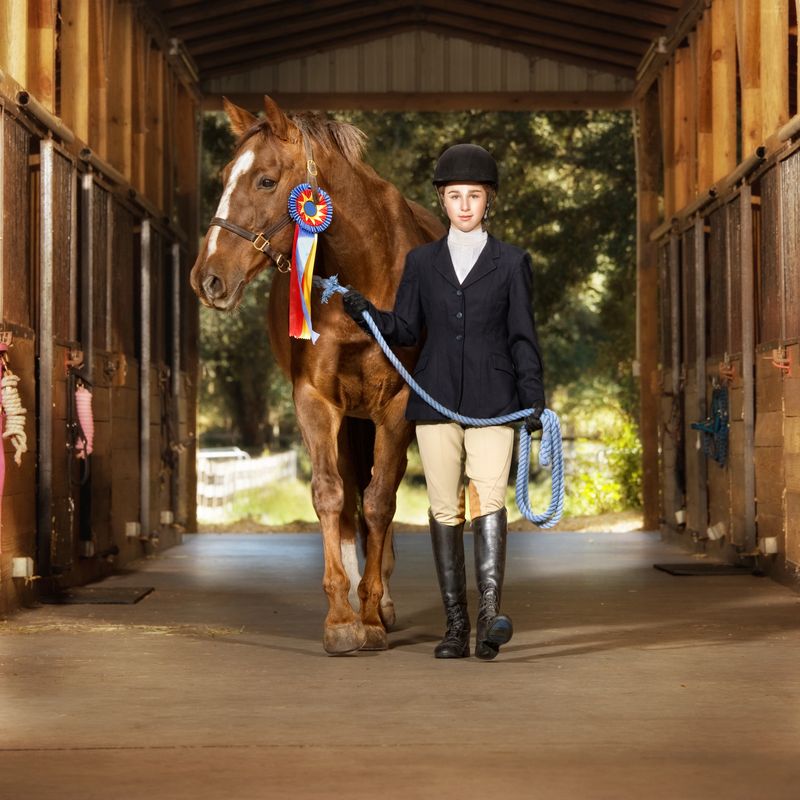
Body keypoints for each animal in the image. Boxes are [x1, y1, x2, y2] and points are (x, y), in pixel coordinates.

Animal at [190, 96, 444, 654]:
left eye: (265, 180)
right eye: (223, 175)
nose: (208, 278)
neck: (366, 279)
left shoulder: (397, 406)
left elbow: (381, 501)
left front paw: (370, 614)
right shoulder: (315, 400)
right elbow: (331, 496)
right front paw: (342, 618)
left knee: (379, 494)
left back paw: (381, 602)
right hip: (350, 419)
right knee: (350, 498)